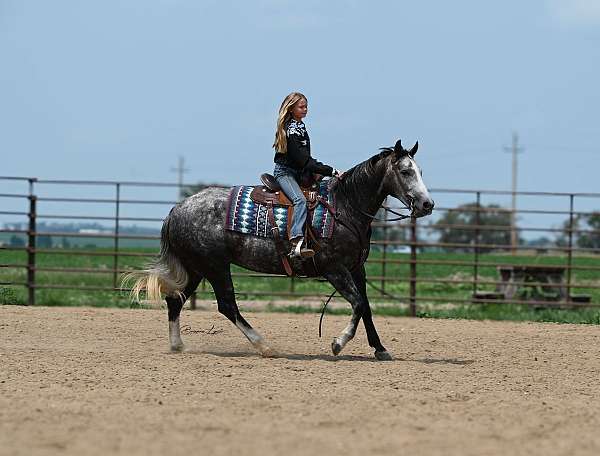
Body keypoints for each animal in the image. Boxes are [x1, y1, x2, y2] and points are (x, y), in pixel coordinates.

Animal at [129, 141, 434, 362]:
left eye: (420, 171)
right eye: (405, 171)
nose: (427, 204)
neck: (344, 206)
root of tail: (176, 210)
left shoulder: (357, 268)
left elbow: (367, 307)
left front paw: (380, 349)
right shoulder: (334, 269)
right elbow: (358, 304)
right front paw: (338, 343)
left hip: (196, 267)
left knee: (175, 301)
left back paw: (178, 345)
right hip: (215, 267)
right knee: (227, 305)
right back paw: (265, 346)